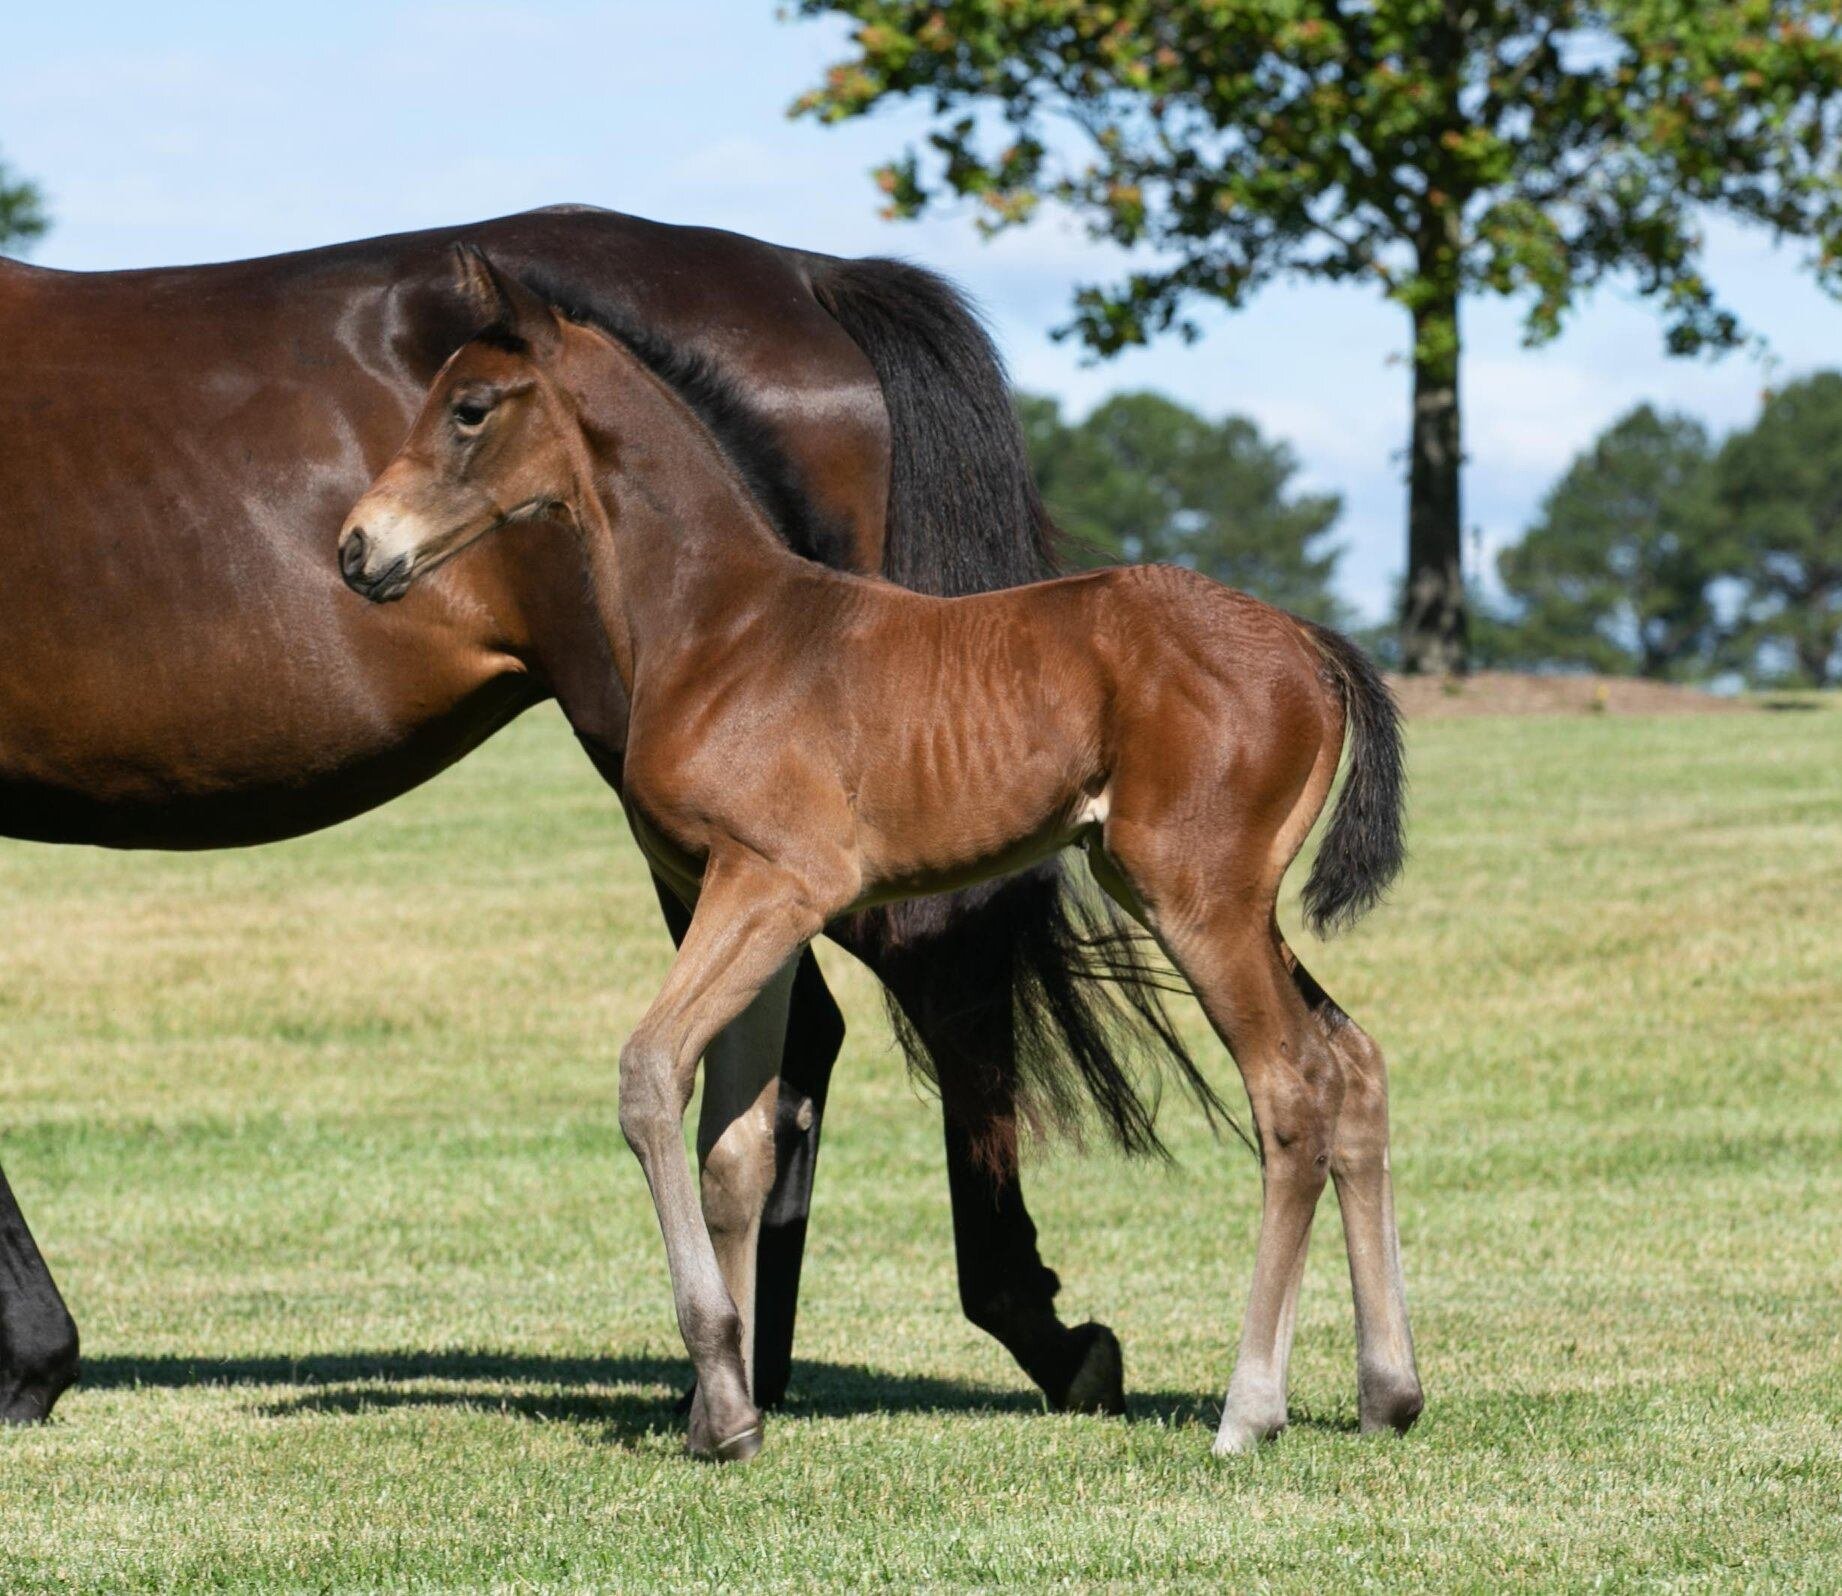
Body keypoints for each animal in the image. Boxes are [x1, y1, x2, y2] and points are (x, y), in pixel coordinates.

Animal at [0, 208, 1178, 1415]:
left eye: (471, 408)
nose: (356, 549)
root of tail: (811, 274)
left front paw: (33, 1366)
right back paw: (753, 1369)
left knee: (935, 979)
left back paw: (1020, 1338)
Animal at [342, 254, 1422, 1459]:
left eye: (471, 409)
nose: (358, 550)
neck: (720, 625)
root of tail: (1313, 646)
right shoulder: (741, 900)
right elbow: (736, 1147)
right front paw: (727, 1407)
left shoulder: (774, 882)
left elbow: (648, 1075)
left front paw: (722, 1402)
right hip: (1212, 899)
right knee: (1354, 1065)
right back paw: (1388, 1392)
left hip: (1198, 899)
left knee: (1292, 1092)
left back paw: (1249, 1410)